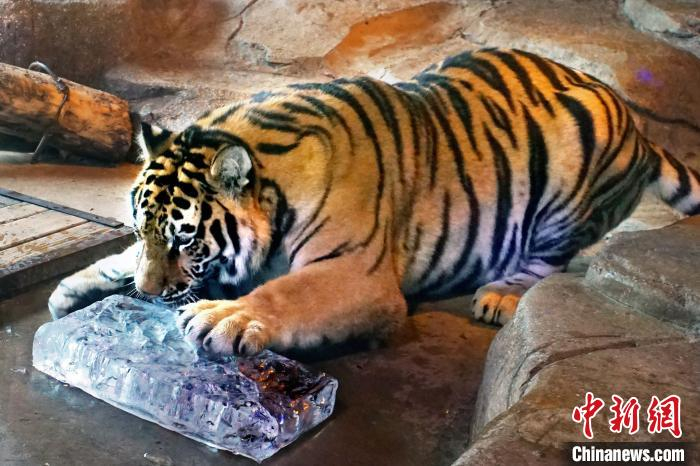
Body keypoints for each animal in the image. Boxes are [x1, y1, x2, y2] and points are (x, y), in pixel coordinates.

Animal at [48, 48, 700, 356]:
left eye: (185, 239)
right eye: (141, 231)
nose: (147, 294)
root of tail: (638, 127)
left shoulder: (356, 273)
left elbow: (289, 292)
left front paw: (223, 316)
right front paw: (75, 288)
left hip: (565, 185)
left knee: (549, 261)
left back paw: (500, 296)